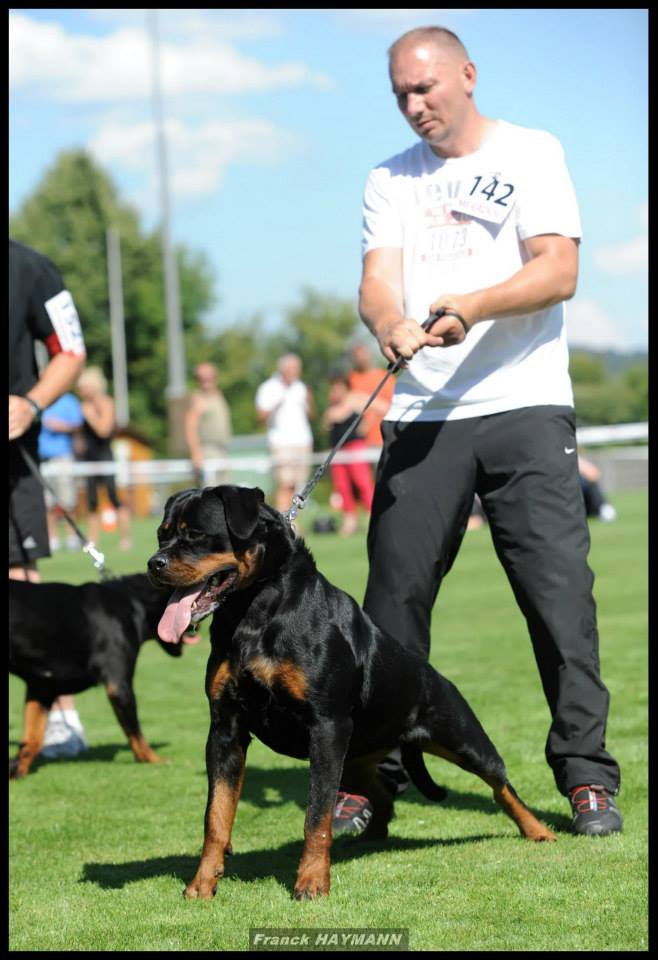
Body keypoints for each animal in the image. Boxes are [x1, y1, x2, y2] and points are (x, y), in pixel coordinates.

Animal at [9, 568, 195, 780]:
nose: (196, 628)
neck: (134, 600)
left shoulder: (42, 688)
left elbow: (31, 739)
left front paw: (17, 773)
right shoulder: (119, 685)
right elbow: (135, 732)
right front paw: (152, 759)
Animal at [147, 488, 552, 900]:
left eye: (196, 534)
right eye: (162, 535)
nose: (154, 564)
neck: (253, 612)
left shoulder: (326, 727)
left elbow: (317, 815)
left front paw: (311, 882)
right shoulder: (225, 730)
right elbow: (216, 814)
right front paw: (202, 883)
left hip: (459, 735)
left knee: (500, 783)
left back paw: (538, 830)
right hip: (356, 756)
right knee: (383, 793)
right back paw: (372, 835)